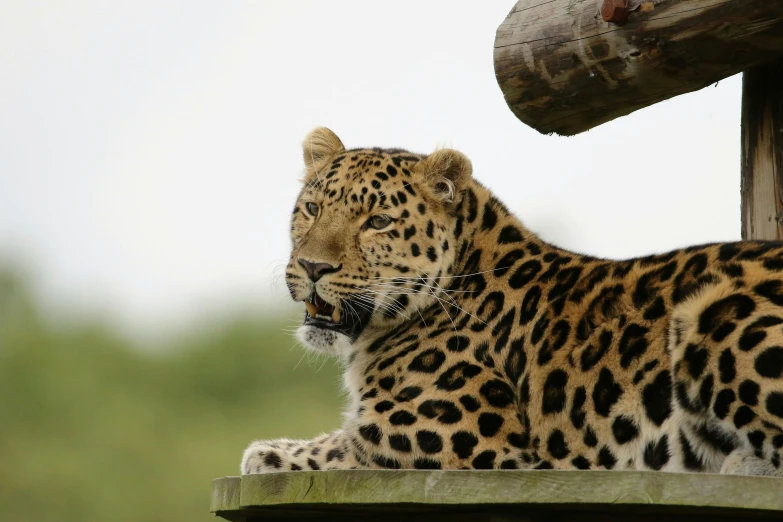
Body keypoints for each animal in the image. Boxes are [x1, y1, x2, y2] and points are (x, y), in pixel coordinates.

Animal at [242, 127, 783, 476]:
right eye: (313, 209)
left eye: (377, 222)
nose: (313, 267)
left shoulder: (452, 437)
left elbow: (342, 447)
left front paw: (266, 454)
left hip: (711, 311)